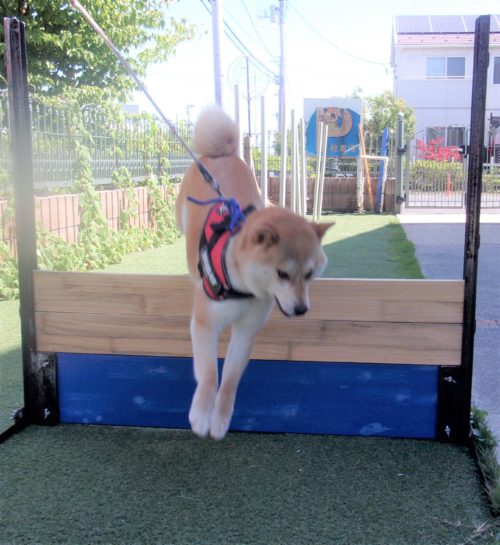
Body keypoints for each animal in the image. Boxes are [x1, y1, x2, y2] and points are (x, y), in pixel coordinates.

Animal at [176, 106, 333, 439]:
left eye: (310, 274)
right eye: (282, 274)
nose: (301, 309)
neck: (243, 287)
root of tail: (221, 155)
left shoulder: (247, 330)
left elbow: (230, 380)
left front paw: (220, 419)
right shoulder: (205, 324)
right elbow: (209, 375)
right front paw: (201, 416)